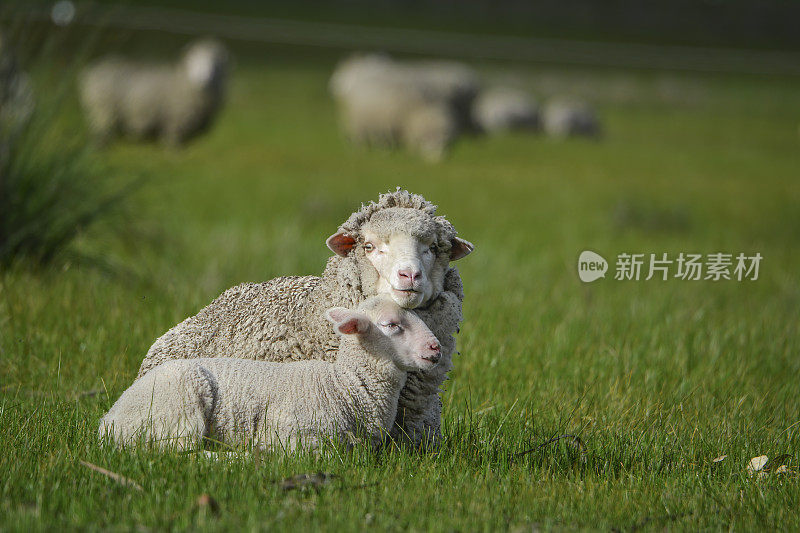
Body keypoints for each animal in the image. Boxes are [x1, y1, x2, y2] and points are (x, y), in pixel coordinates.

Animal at [79, 38, 230, 145]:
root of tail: (91, 70)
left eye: (215, 63)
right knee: (100, 133)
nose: (203, 78)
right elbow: (172, 141)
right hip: (102, 110)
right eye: (193, 62)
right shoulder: (174, 120)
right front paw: (173, 159)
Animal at [98, 294, 444, 450]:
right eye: (391, 325)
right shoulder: (295, 435)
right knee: (180, 454)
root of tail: (108, 422)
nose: (435, 348)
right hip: (178, 408)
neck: (346, 385)